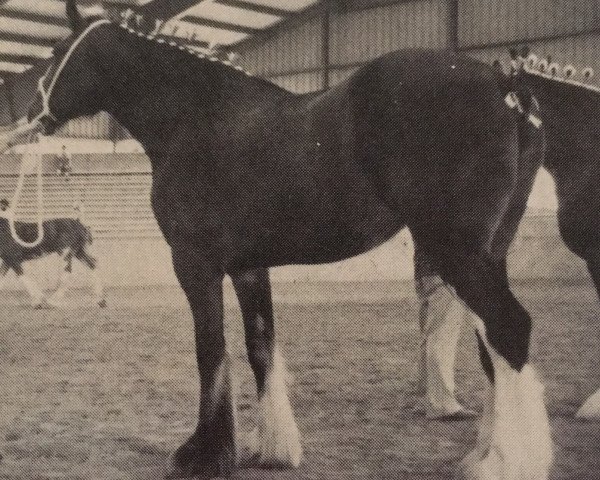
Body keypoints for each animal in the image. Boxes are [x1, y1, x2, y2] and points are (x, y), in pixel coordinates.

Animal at [18, 1, 556, 478]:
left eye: (58, 52)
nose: (25, 117)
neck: (196, 118)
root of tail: (503, 85)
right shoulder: (248, 266)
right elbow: (261, 348)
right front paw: (273, 449)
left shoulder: (195, 262)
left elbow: (210, 351)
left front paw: (204, 455)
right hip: (490, 251)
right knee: (493, 347)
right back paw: (484, 455)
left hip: (457, 252)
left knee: (509, 328)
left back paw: (506, 464)